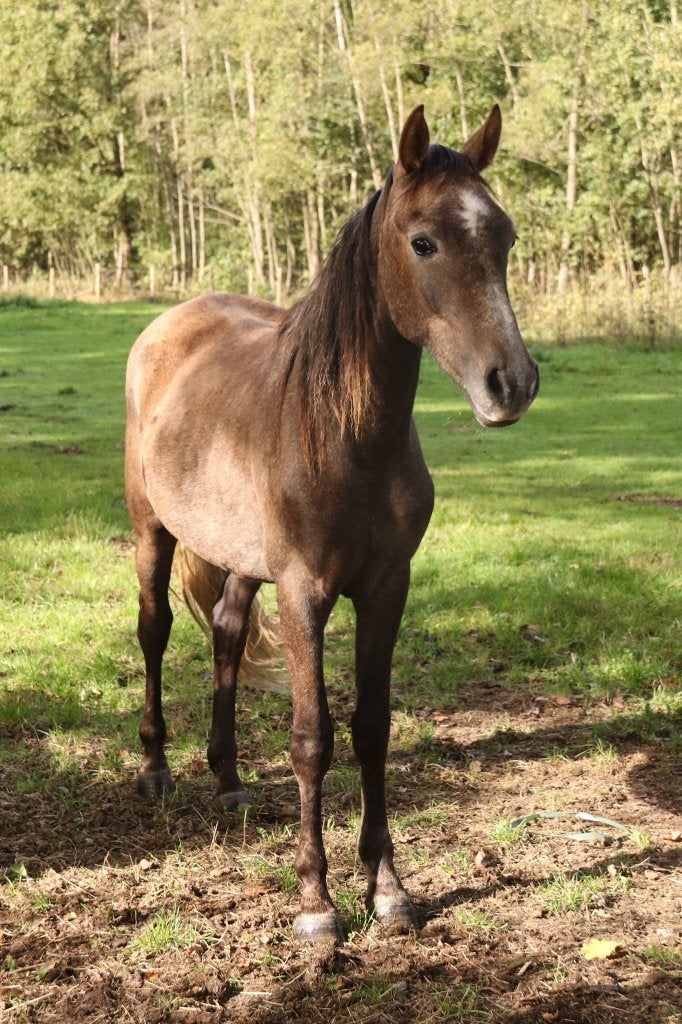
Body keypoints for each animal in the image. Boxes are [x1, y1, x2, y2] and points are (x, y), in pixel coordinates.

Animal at [124, 103, 539, 945]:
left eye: (505, 236)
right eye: (424, 241)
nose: (510, 384)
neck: (348, 437)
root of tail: (168, 326)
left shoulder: (386, 588)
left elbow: (371, 727)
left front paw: (388, 890)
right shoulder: (304, 593)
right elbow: (312, 737)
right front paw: (316, 902)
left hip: (242, 562)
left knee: (224, 635)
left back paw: (228, 779)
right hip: (155, 533)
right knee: (155, 634)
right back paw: (156, 771)